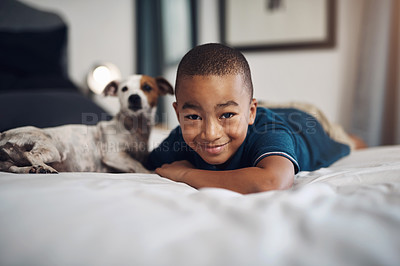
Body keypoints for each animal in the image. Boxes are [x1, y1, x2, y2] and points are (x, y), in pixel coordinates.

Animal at [0, 74, 173, 175]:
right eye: (124, 89)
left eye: (147, 87)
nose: (134, 97)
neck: (134, 128)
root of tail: (3, 134)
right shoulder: (113, 155)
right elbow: (138, 166)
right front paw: (151, 173)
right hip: (50, 149)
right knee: (31, 155)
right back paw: (45, 168)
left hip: (8, 162)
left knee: (13, 167)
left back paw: (32, 169)